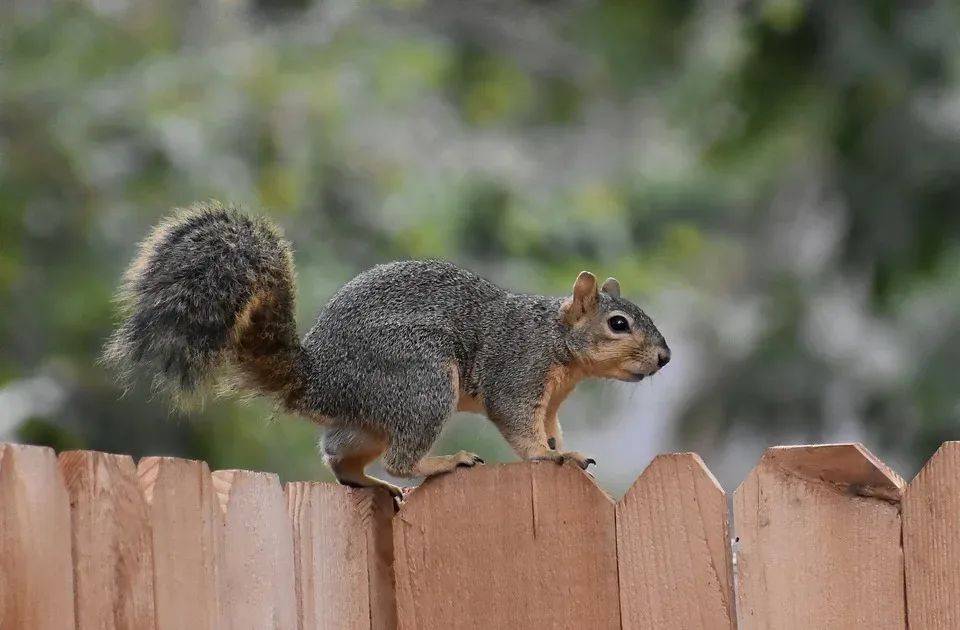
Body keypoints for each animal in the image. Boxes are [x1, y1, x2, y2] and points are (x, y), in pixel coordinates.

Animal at [101, 201, 672, 498]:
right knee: (402, 458)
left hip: (370, 418)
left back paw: (371, 484)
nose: (665, 358)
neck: (556, 341)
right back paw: (440, 463)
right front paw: (550, 457)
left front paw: (563, 448)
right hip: (421, 383)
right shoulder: (517, 372)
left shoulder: (549, 400)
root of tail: (318, 379)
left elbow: (550, 428)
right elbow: (521, 428)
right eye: (619, 324)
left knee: (340, 459)